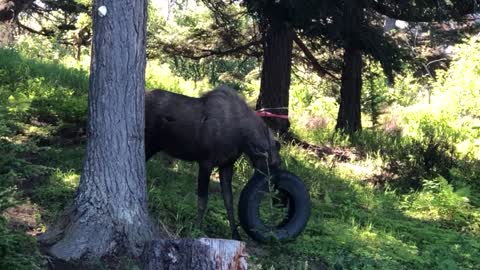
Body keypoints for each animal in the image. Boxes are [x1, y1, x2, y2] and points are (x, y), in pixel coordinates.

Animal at [146, 85, 282, 239]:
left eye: (278, 164)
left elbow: (229, 201)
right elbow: (202, 201)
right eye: (272, 165)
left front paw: (235, 234)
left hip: (153, 147)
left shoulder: (226, 165)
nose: (275, 197)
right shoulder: (206, 162)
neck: (243, 140)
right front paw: (196, 229)